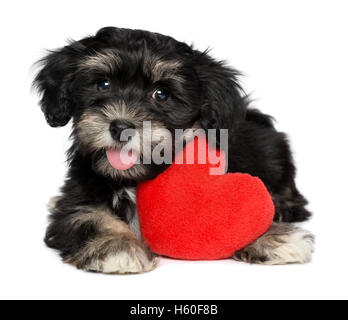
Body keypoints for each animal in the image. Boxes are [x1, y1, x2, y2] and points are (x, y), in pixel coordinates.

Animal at [34, 26, 314, 274]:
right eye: (103, 84)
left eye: (162, 94)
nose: (121, 127)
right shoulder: (78, 198)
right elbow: (90, 216)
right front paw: (118, 247)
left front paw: (273, 237)